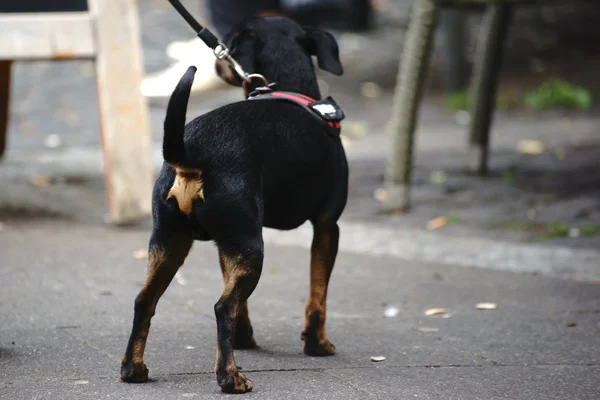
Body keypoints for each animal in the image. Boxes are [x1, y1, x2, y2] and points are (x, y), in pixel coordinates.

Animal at [120, 16, 350, 394]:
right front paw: (317, 344)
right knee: (222, 306)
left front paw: (244, 339)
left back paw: (133, 368)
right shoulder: (327, 225)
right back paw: (230, 377)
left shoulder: (226, 245)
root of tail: (191, 154)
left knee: (145, 301)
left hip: (171, 241)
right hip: (248, 247)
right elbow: (318, 295)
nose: (217, 62)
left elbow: (242, 303)